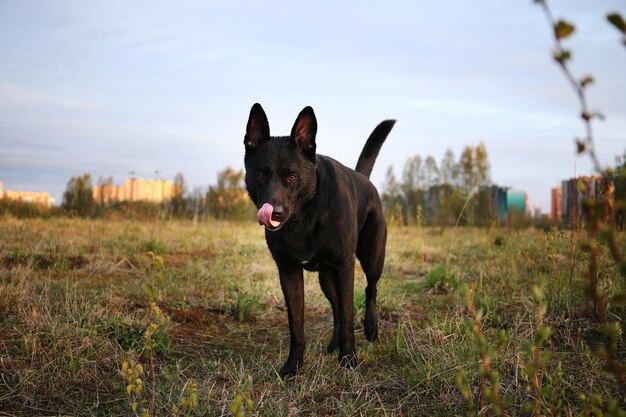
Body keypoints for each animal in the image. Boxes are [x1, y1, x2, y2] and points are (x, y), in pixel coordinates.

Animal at [241, 104, 392, 376]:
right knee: (336, 310)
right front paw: (293, 367)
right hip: (326, 278)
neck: (305, 216)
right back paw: (334, 344)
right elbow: (297, 325)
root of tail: (364, 179)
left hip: (372, 257)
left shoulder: (345, 267)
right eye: (260, 176)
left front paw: (349, 360)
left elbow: (348, 315)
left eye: (292, 177)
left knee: (370, 289)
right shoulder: (288, 271)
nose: (274, 213)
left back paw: (371, 328)